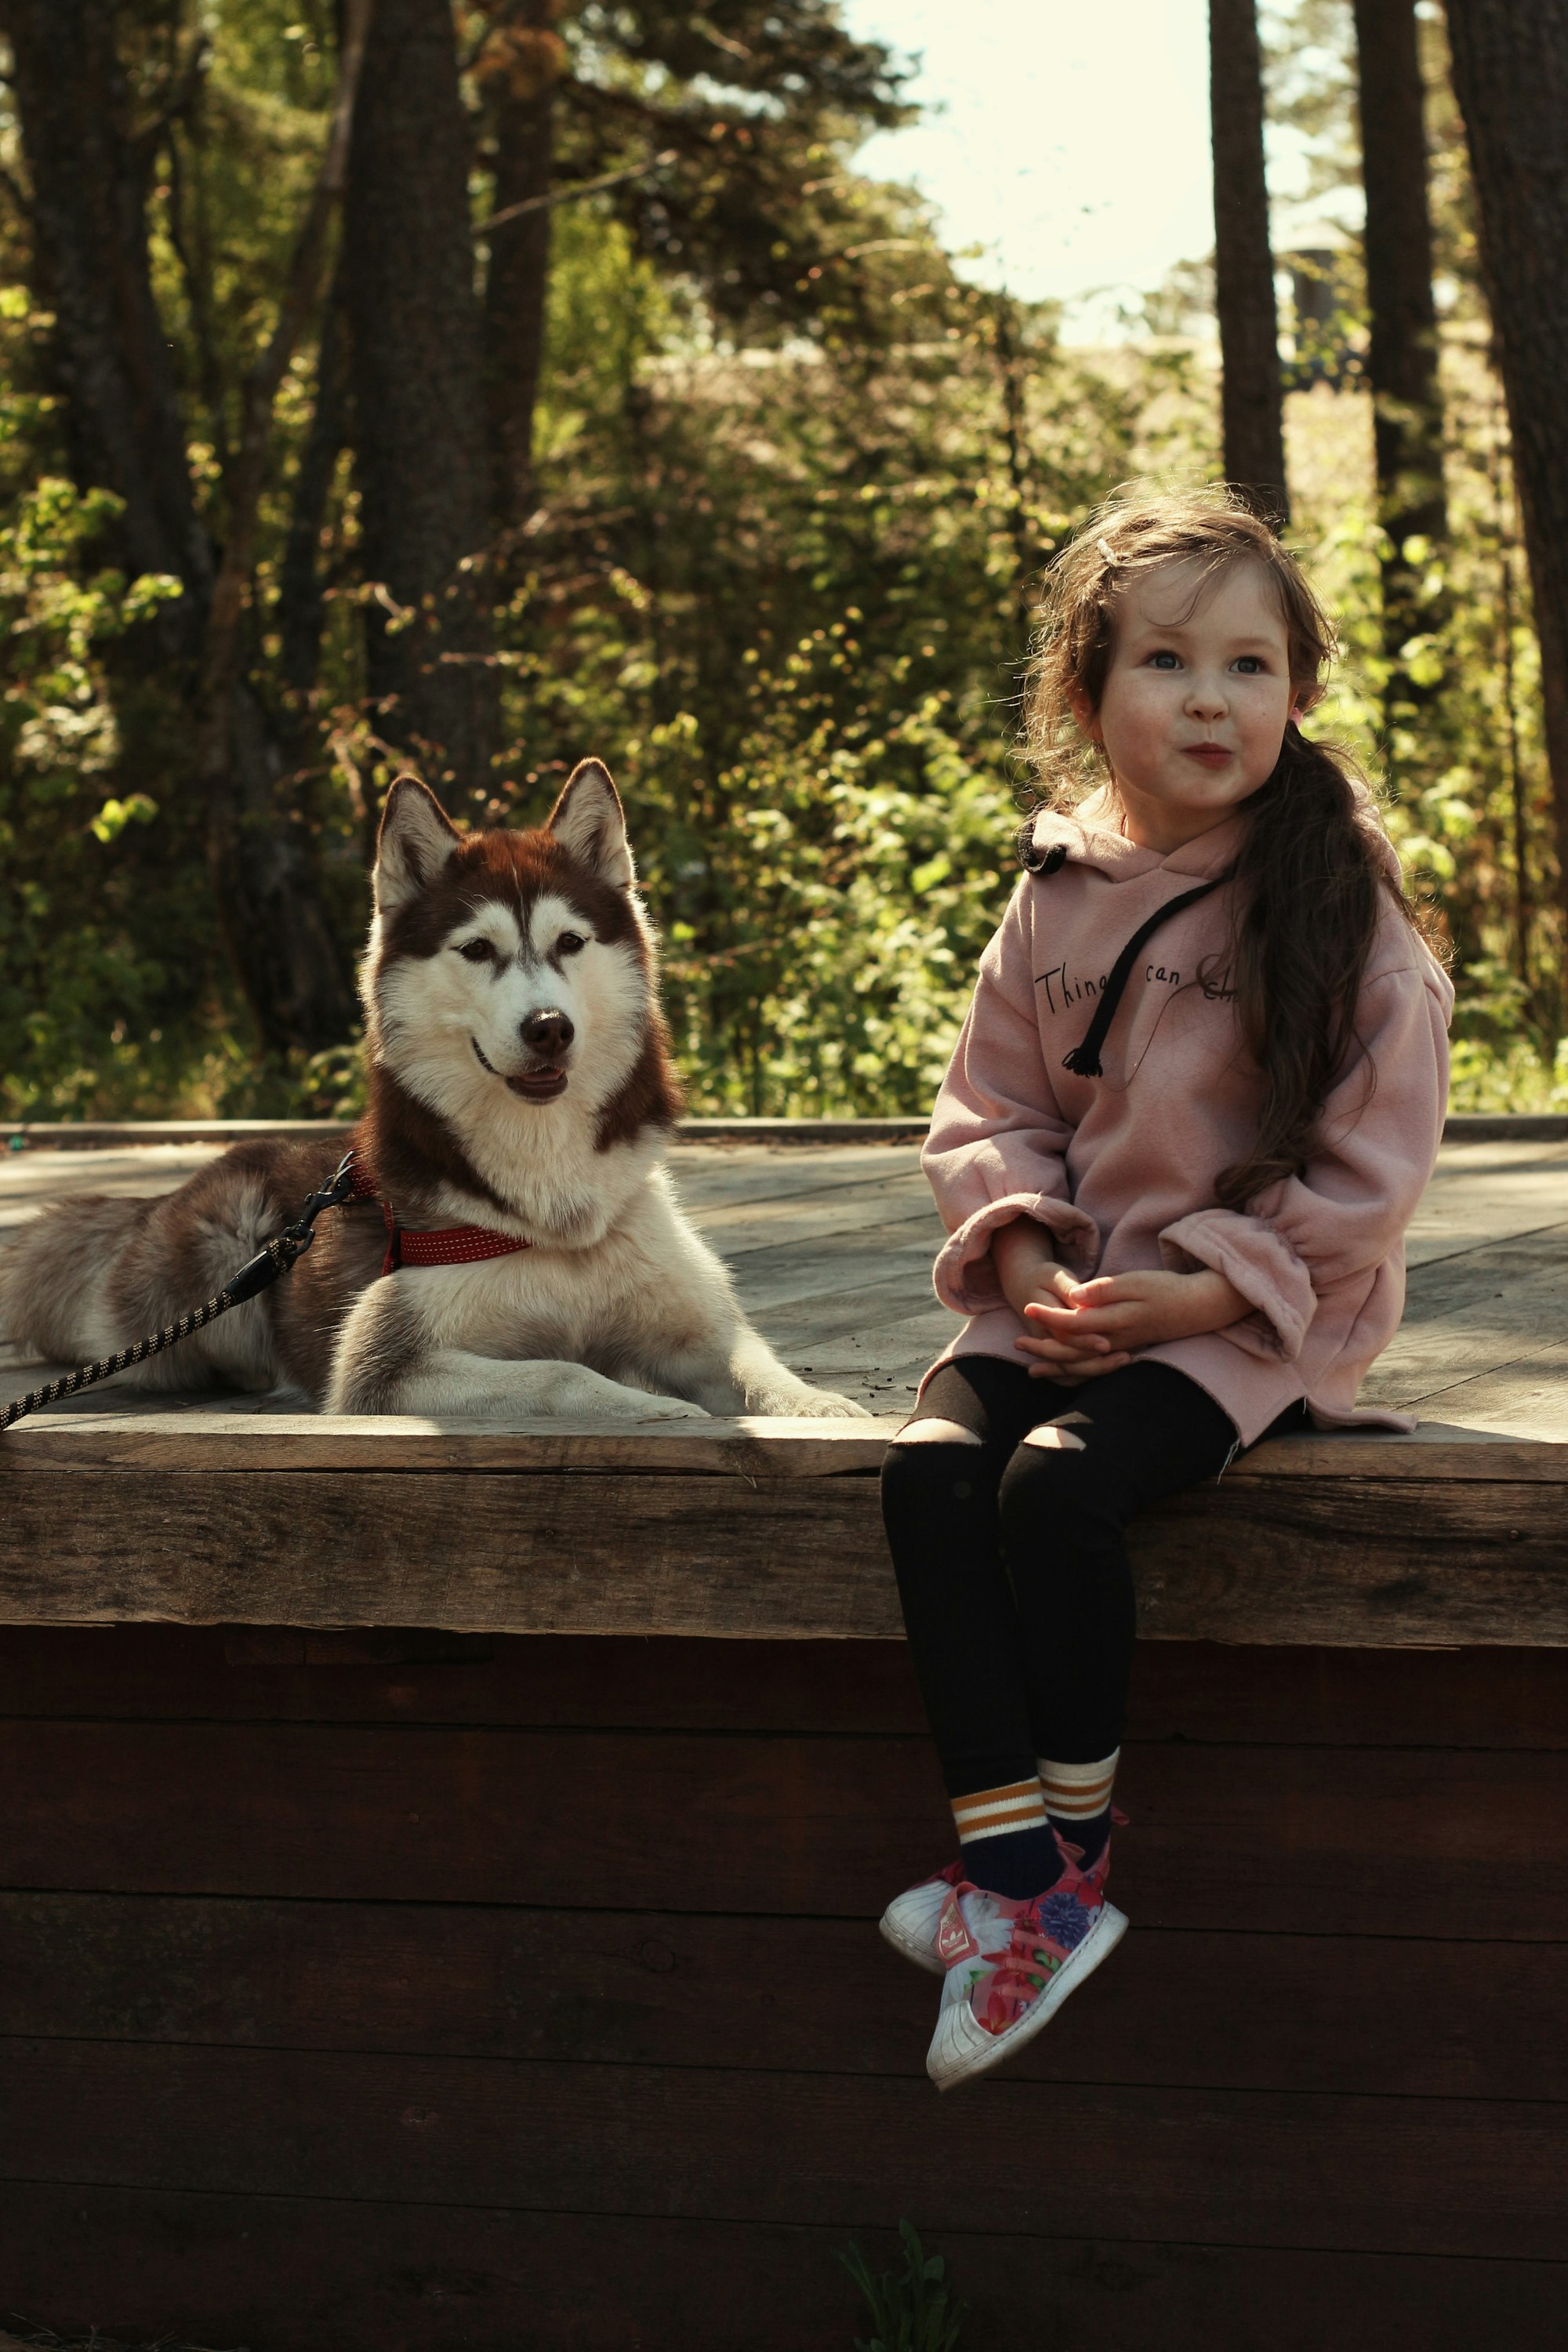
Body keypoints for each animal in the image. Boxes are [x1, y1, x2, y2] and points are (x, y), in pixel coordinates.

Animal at [0, 762, 865, 1411]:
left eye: (570, 943)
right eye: (477, 949)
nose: (549, 1027)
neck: (552, 1211)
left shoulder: (703, 1332)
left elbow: (763, 1372)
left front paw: (829, 1413)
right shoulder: (387, 1364)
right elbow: (565, 1372)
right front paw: (667, 1414)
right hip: (197, 1290)